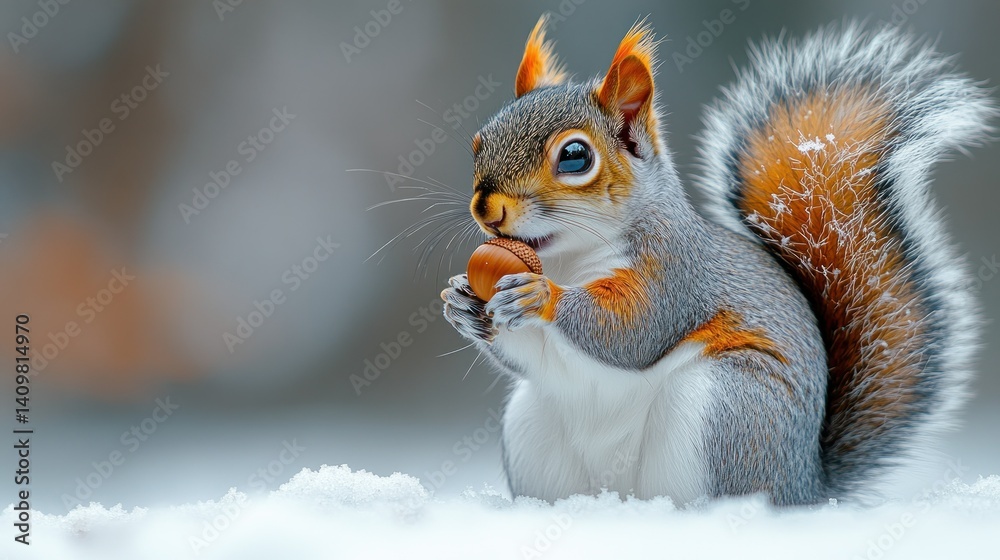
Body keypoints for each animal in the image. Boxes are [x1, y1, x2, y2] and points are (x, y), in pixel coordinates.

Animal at [440, 16, 996, 505]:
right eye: (478, 142)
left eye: (575, 157)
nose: (487, 207)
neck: (566, 258)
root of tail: (806, 486)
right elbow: (526, 354)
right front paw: (461, 303)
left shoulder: (675, 272)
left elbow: (631, 331)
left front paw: (541, 296)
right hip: (534, 430)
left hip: (725, 410)